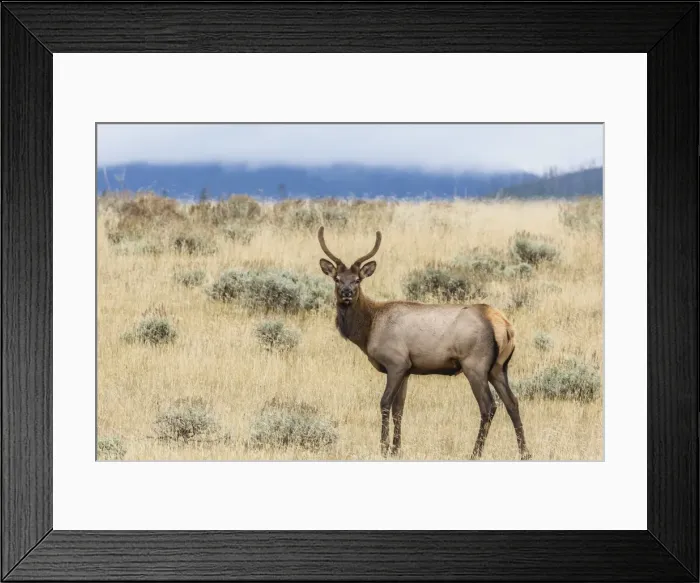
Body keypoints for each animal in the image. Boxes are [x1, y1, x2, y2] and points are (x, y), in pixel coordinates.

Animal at [317, 226, 531, 460]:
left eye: (357, 280)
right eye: (337, 279)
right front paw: (396, 448)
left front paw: (383, 447)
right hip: (499, 367)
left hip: (475, 365)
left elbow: (385, 403)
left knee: (489, 406)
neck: (368, 329)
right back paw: (524, 452)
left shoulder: (396, 363)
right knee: (512, 402)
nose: (346, 293)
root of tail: (503, 325)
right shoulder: (407, 369)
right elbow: (399, 409)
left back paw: (475, 453)